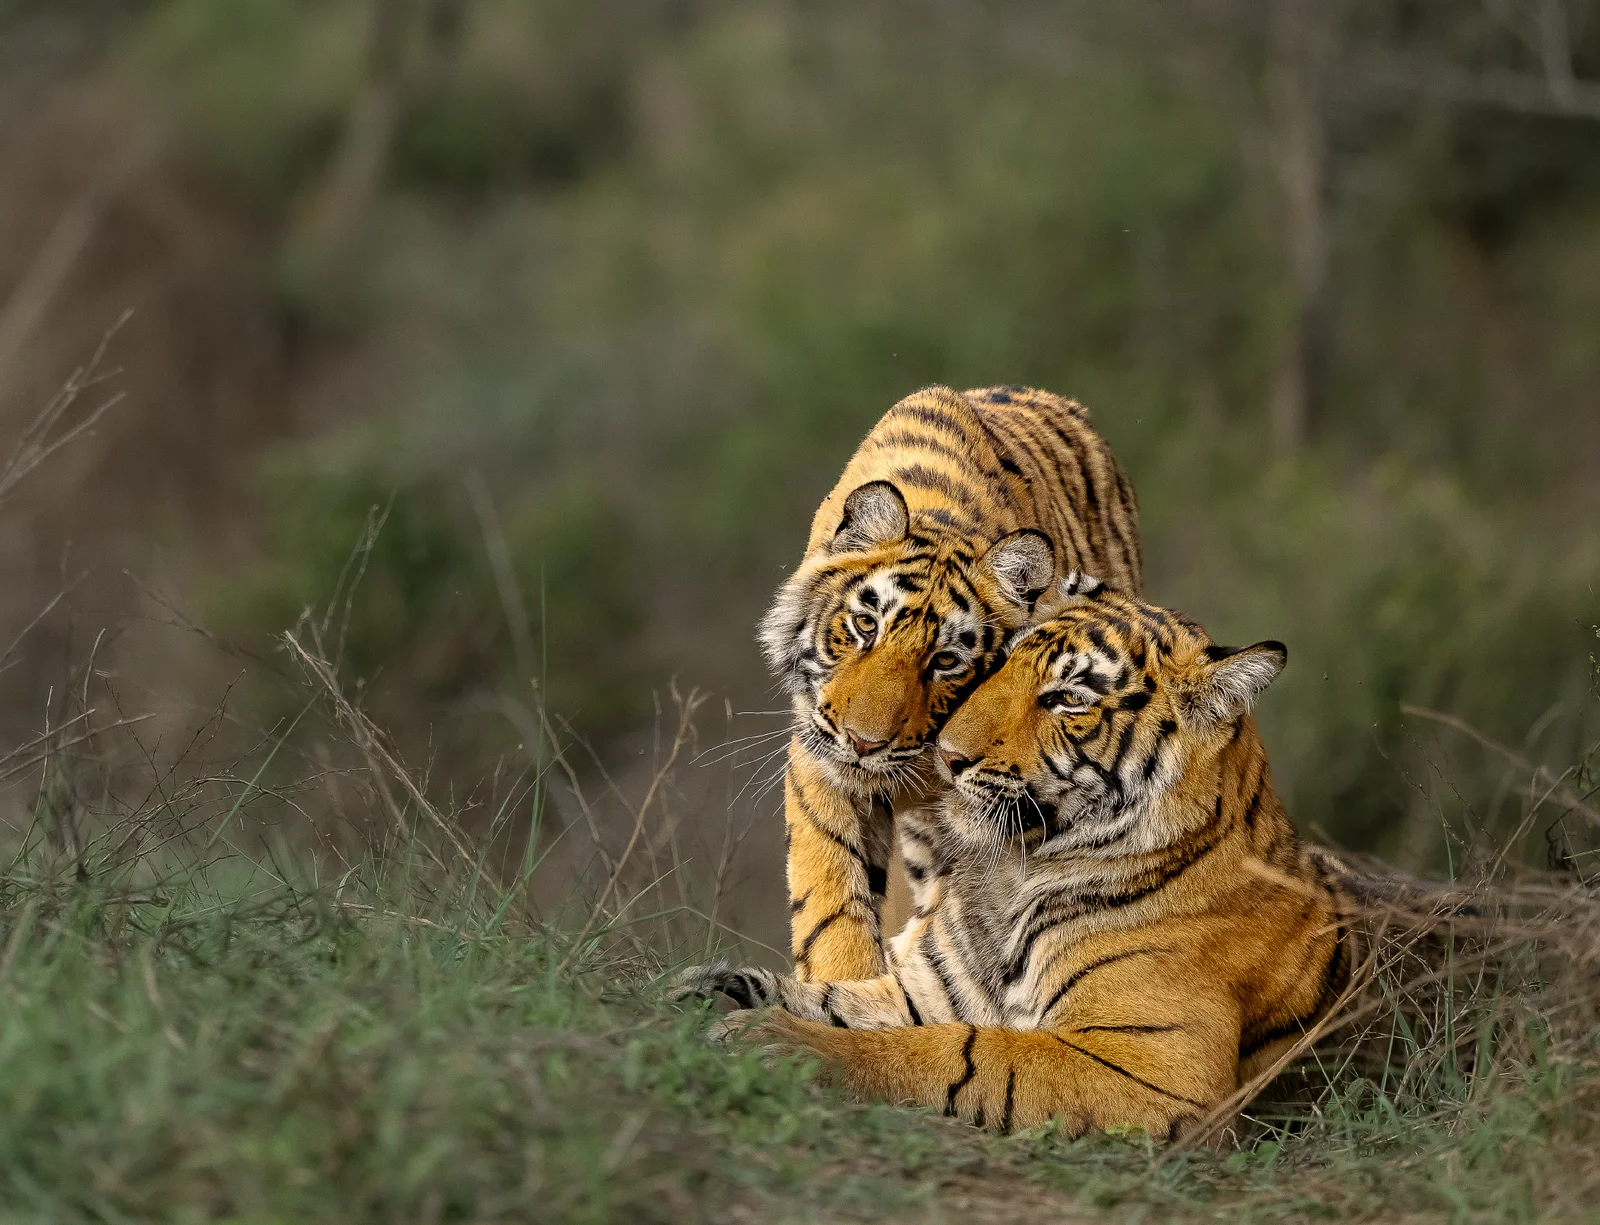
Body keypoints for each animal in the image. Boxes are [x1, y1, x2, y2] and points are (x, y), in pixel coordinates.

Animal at [680, 575, 1354, 1139]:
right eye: (1000, 664)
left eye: (1067, 699)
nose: (947, 756)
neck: (1014, 872)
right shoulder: (926, 991)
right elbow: (825, 997)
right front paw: (704, 988)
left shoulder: (1157, 1070)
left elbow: (959, 1052)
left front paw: (775, 1044)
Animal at [762, 385, 1143, 985]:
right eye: (865, 625)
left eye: (945, 661)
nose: (862, 743)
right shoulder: (819, 755)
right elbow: (830, 893)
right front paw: (841, 977)